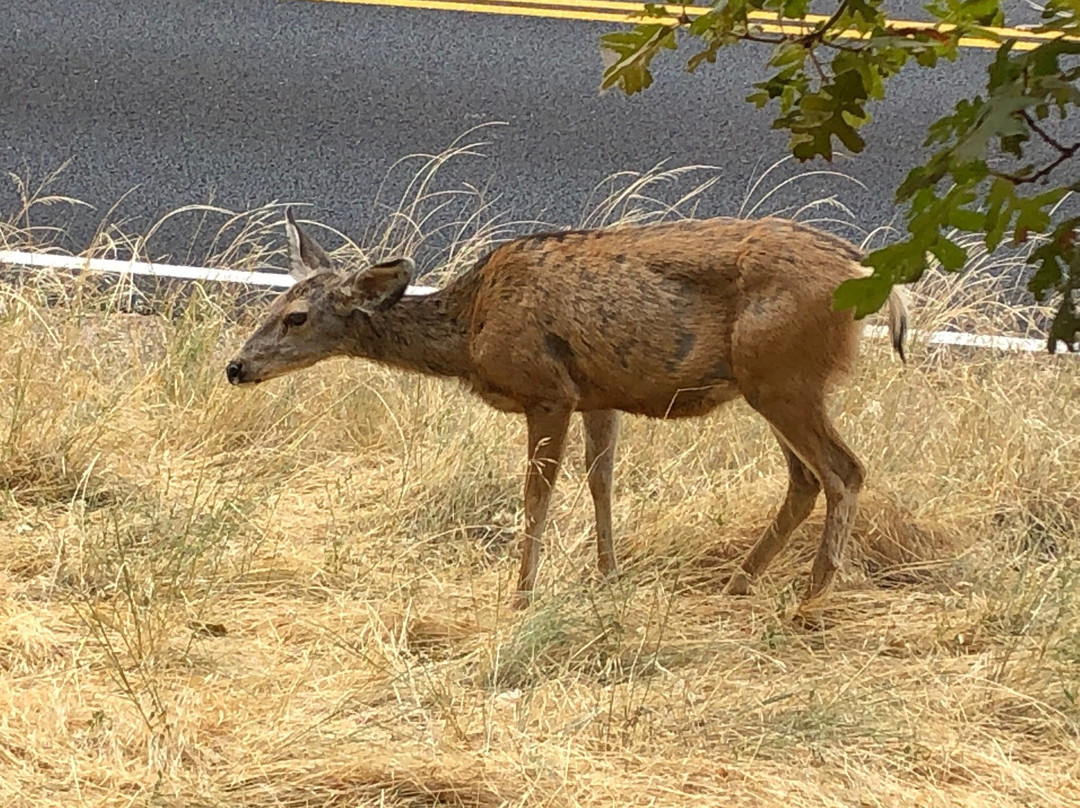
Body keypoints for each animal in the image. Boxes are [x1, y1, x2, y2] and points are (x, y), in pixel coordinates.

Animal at [225, 208, 902, 613]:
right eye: (273, 304)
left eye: (296, 317)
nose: (236, 367)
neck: (471, 326)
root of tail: (867, 271)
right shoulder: (599, 395)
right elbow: (601, 479)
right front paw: (607, 576)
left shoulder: (547, 390)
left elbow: (537, 492)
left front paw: (520, 595)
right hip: (773, 384)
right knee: (806, 478)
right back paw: (739, 583)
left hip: (785, 377)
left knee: (843, 471)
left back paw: (807, 605)